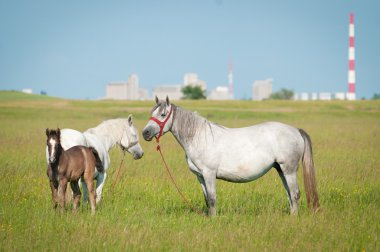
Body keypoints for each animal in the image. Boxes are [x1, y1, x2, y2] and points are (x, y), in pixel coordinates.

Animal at [144, 97, 320, 216]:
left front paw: (213, 220)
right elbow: (207, 199)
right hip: (280, 170)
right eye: (151, 112)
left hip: (289, 170)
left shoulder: (209, 174)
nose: (145, 133)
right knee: (290, 194)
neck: (199, 137)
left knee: (295, 194)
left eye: (163, 114)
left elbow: (212, 198)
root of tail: (296, 130)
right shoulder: (200, 176)